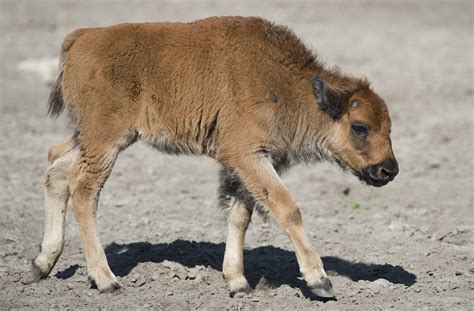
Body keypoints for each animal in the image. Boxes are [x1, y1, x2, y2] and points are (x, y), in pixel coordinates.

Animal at [31, 17, 398, 300]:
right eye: (360, 126)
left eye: (389, 126)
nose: (388, 170)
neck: (287, 86)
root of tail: (82, 38)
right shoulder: (248, 156)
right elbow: (287, 208)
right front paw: (320, 281)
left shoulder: (244, 166)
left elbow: (240, 216)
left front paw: (238, 283)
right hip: (106, 140)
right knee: (84, 189)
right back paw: (106, 280)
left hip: (93, 138)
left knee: (56, 164)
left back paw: (41, 264)